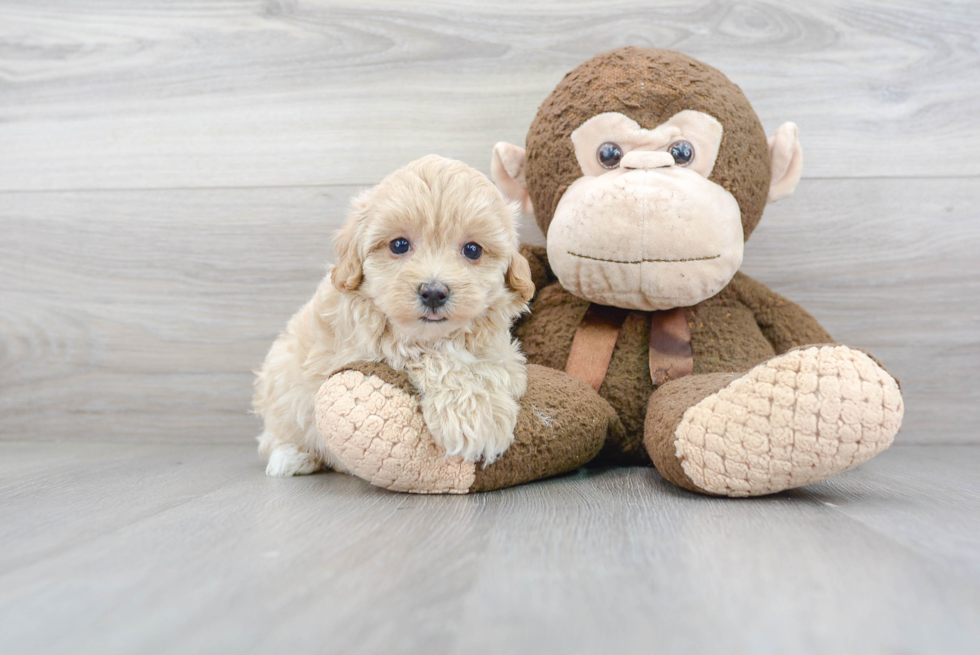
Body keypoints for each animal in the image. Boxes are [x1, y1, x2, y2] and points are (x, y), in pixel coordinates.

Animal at [249, 157, 532, 480]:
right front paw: (476, 416)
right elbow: (436, 358)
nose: (433, 292)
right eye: (399, 245)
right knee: (275, 434)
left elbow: (497, 359)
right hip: (280, 380)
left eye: (472, 250)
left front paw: (496, 383)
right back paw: (291, 457)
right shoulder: (370, 347)